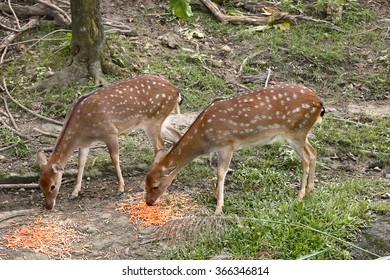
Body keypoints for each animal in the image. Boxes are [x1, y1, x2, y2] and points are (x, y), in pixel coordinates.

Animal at [37, 75, 183, 210]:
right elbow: (81, 163)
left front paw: (120, 188)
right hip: (162, 120)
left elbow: (114, 158)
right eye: (40, 185)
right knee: (177, 136)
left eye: (52, 186)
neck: (81, 130)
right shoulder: (85, 144)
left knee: (160, 146)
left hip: (153, 119)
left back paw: (142, 184)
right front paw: (74, 193)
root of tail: (176, 92)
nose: (48, 206)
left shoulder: (110, 132)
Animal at [143, 83, 326, 214]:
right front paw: (214, 195)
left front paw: (218, 208)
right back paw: (310, 189)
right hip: (301, 133)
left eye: (156, 186)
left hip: (296, 131)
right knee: (313, 152)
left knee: (305, 158)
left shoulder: (227, 144)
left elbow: (221, 172)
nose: (148, 202)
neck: (204, 139)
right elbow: (218, 172)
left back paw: (300, 195)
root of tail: (320, 104)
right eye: (145, 182)